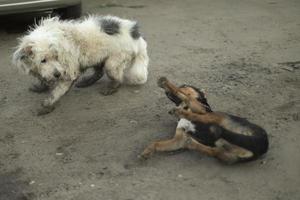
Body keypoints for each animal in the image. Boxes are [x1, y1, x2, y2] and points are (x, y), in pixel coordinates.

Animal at [12, 15, 149, 115]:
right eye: (43, 60)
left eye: (56, 57)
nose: (57, 74)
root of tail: (136, 35)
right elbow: (44, 79)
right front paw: (41, 87)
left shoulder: (69, 70)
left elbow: (57, 91)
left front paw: (47, 105)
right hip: (97, 56)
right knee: (99, 72)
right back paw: (86, 82)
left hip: (113, 62)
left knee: (117, 78)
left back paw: (111, 88)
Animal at [141, 77, 270, 164]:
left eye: (185, 85)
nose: (165, 92)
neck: (184, 107)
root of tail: (263, 144)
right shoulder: (179, 139)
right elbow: (156, 143)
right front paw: (147, 151)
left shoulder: (202, 109)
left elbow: (185, 96)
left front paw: (166, 83)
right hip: (227, 155)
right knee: (212, 150)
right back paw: (193, 143)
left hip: (219, 118)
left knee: (201, 118)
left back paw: (181, 114)